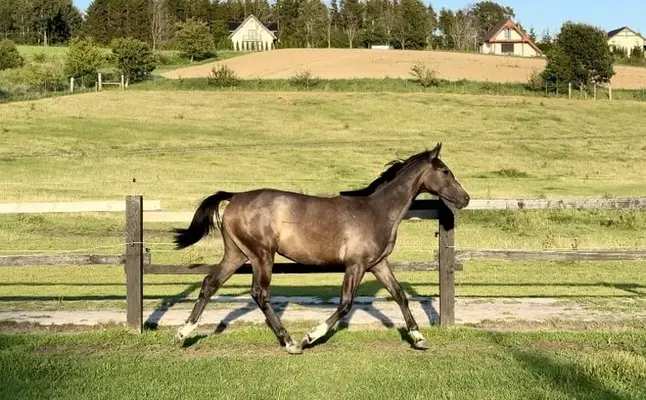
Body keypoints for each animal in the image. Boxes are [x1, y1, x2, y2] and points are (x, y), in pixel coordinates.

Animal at [172, 143, 470, 354]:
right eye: (445, 171)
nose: (465, 198)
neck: (377, 211)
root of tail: (235, 197)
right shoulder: (356, 265)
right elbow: (346, 303)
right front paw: (310, 337)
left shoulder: (378, 264)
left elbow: (400, 296)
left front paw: (419, 338)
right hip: (261, 255)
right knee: (260, 293)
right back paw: (290, 342)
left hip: (236, 254)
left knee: (210, 284)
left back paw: (182, 334)